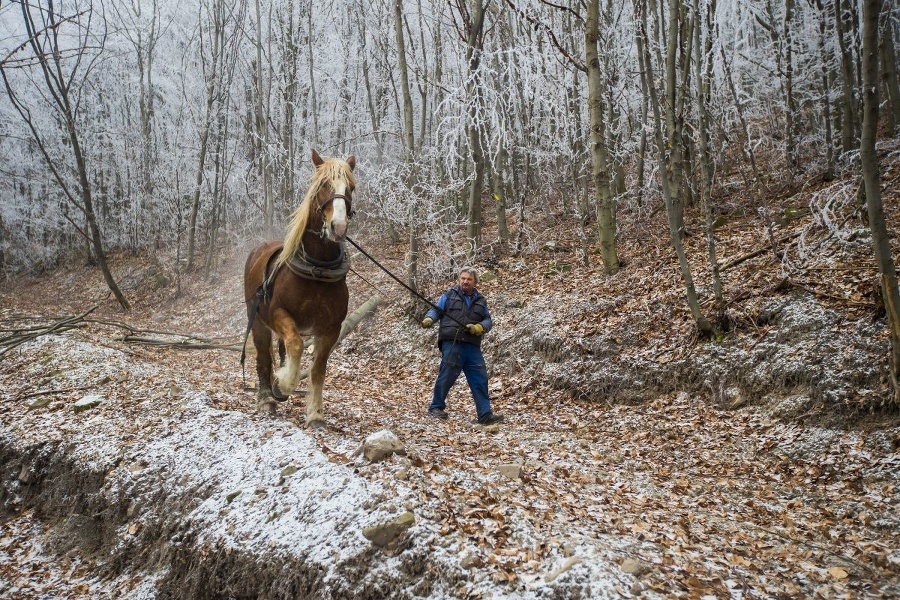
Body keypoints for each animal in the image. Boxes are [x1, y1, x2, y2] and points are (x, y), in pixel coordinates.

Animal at [243, 148, 356, 424]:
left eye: (350, 188)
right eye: (323, 185)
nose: (338, 227)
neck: (318, 271)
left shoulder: (330, 328)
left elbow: (318, 369)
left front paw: (315, 413)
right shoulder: (279, 314)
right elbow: (295, 345)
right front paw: (282, 385)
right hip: (258, 321)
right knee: (263, 358)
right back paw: (266, 398)